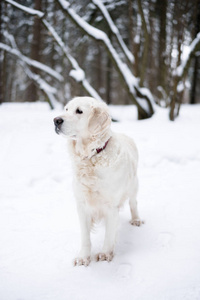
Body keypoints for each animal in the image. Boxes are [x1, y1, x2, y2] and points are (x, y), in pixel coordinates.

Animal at [54, 97, 143, 266]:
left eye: (79, 111)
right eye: (66, 109)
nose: (56, 120)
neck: (92, 156)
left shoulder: (111, 205)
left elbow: (109, 235)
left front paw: (105, 254)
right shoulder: (82, 204)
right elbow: (85, 236)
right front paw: (83, 257)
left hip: (133, 186)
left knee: (133, 203)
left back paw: (136, 220)